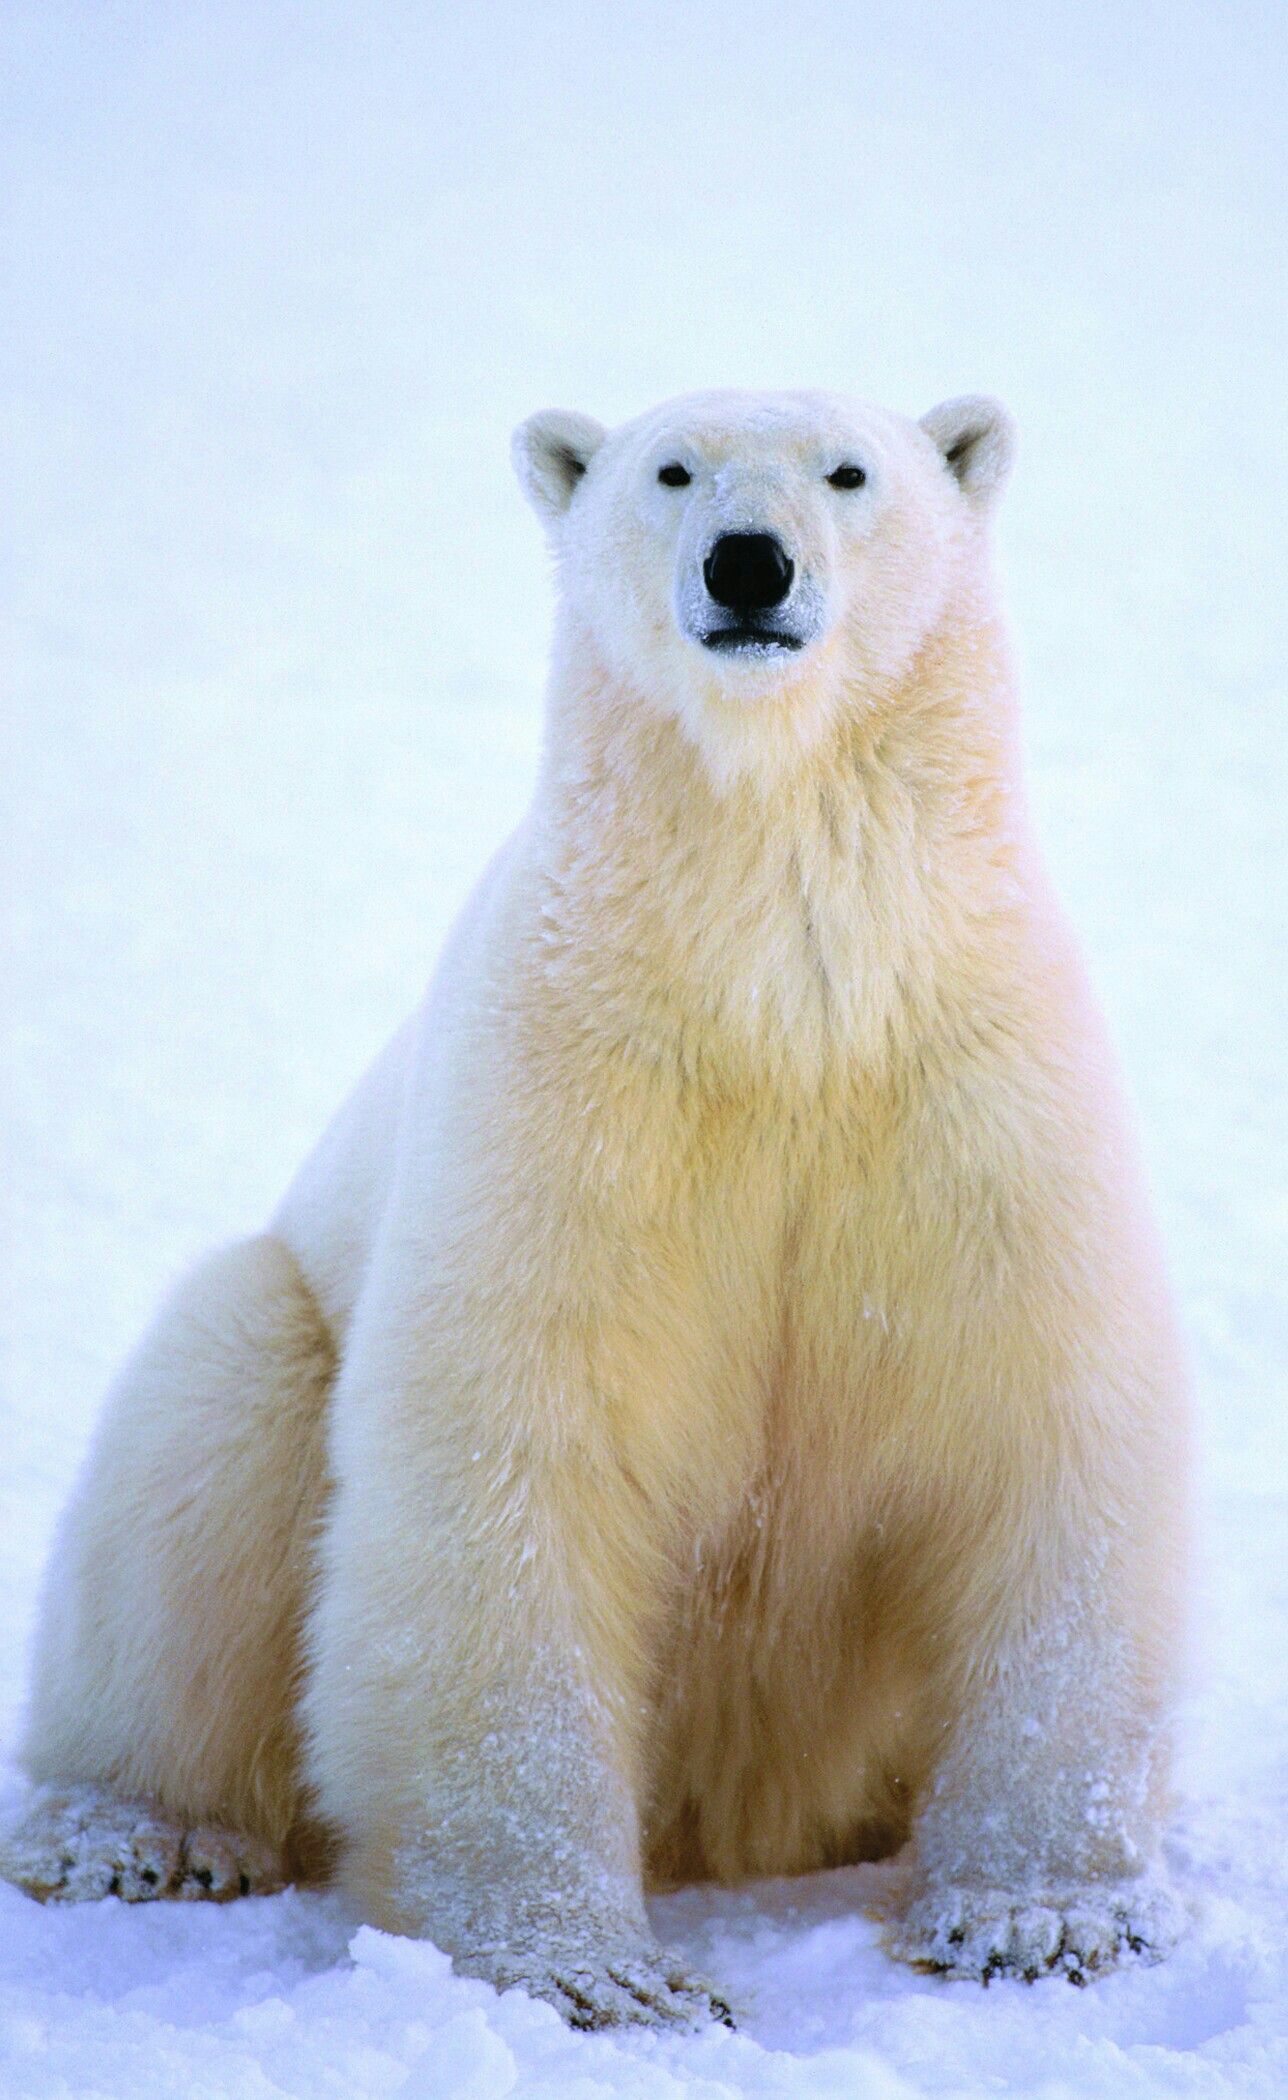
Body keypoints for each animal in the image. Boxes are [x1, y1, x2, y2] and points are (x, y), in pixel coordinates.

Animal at [2, 389, 1189, 2030]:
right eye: (671, 469)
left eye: (849, 471)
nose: (749, 564)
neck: (782, 994)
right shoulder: (574, 1090)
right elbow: (516, 1461)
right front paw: (592, 1975)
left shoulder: (969, 1086)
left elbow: (1043, 1429)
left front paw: (1041, 1920)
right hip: (274, 1324)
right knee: (202, 1445)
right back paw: (133, 1832)